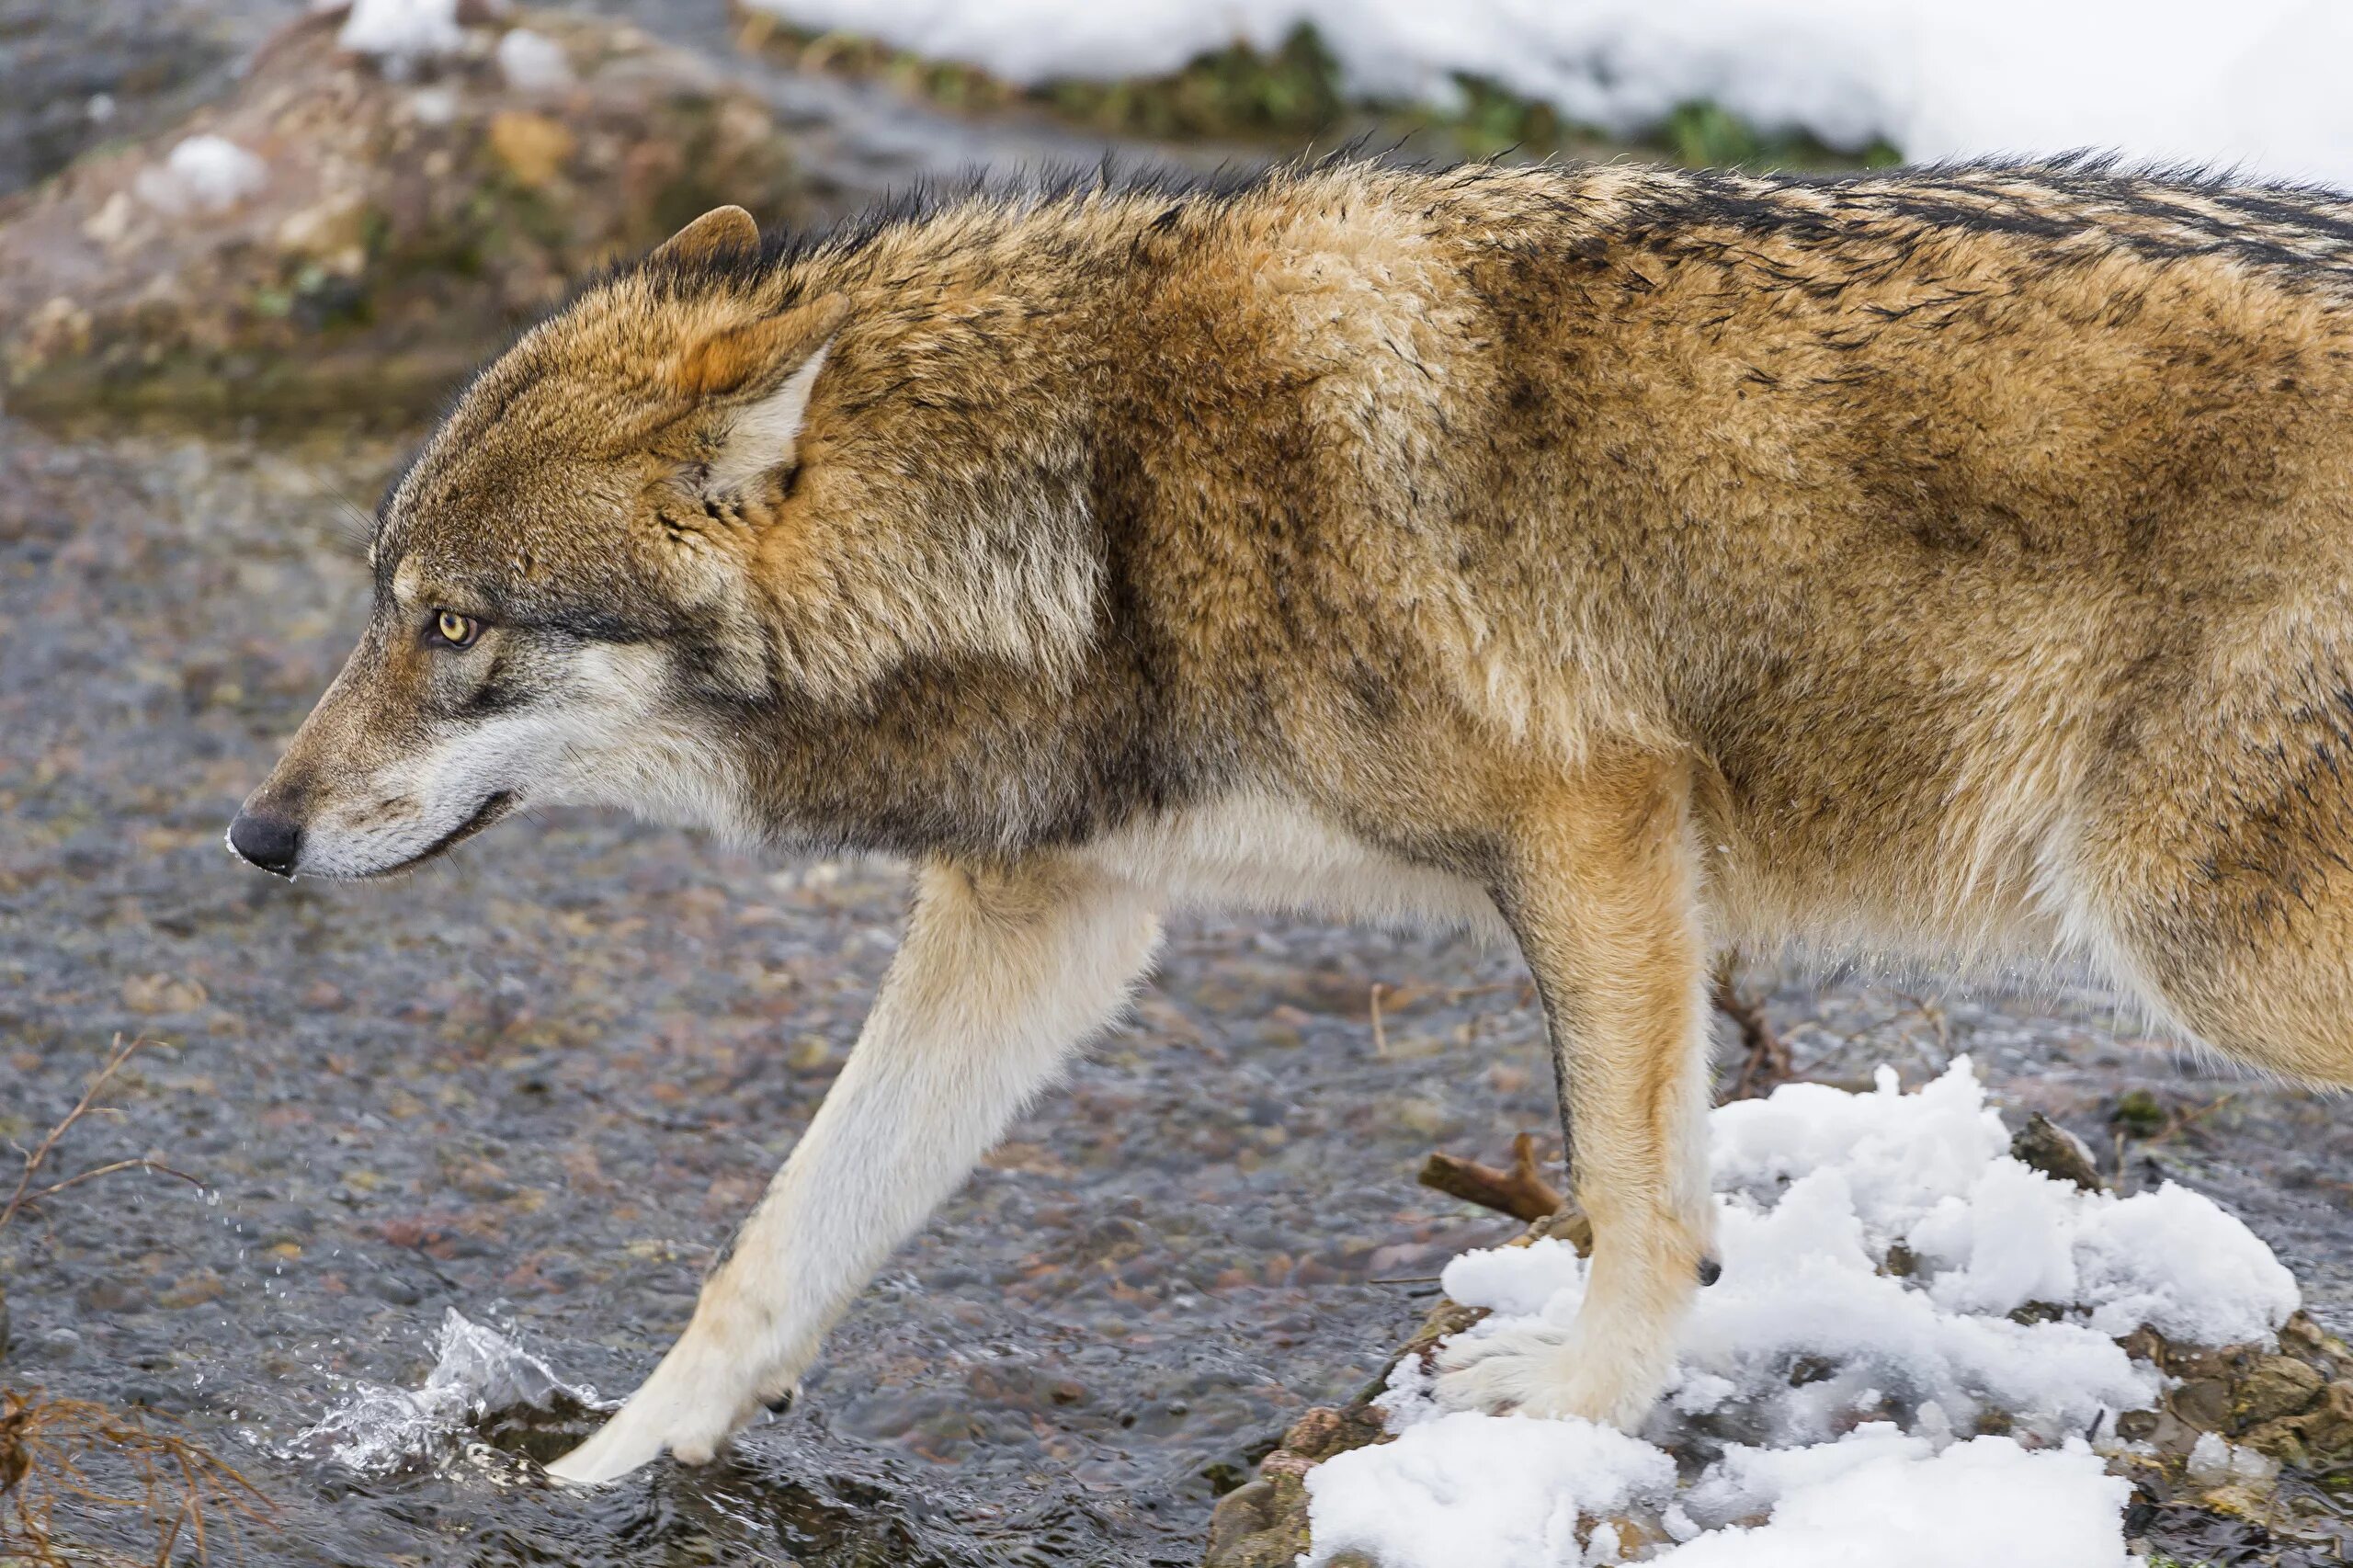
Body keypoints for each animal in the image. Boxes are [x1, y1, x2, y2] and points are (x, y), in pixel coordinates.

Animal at [224, 155, 2353, 1478]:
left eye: (454, 626)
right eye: (380, 600)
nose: (255, 837)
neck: (1097, 501)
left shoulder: (1594, 826)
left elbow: (1642, 1202)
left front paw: (1564, 1416)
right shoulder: (1050, 913)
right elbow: (781, 1242)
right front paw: (603, 1469)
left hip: (2190, 936)